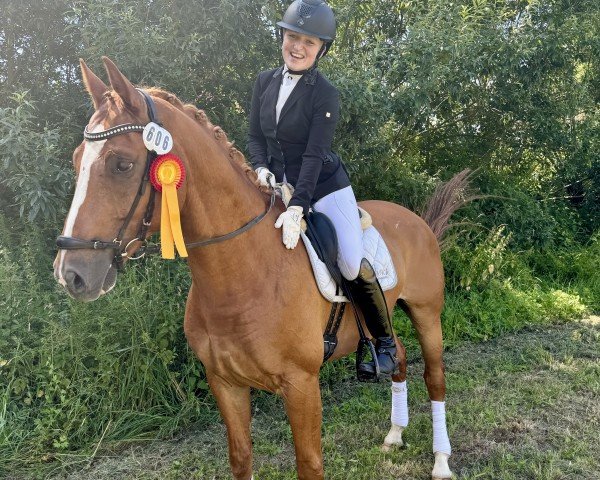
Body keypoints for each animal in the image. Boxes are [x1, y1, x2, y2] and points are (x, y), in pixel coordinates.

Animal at [54, 58, 464, 478]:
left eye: (121, 164)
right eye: (76, 160)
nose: (71, 274)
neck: (245, 274)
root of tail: (415, 220)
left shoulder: (301, 385)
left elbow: (309, 463)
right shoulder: (225, 383)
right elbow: (241, 458)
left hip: (426, 312)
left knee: (434, 377)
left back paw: (441, 460)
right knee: (399, 357)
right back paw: (395, 435)